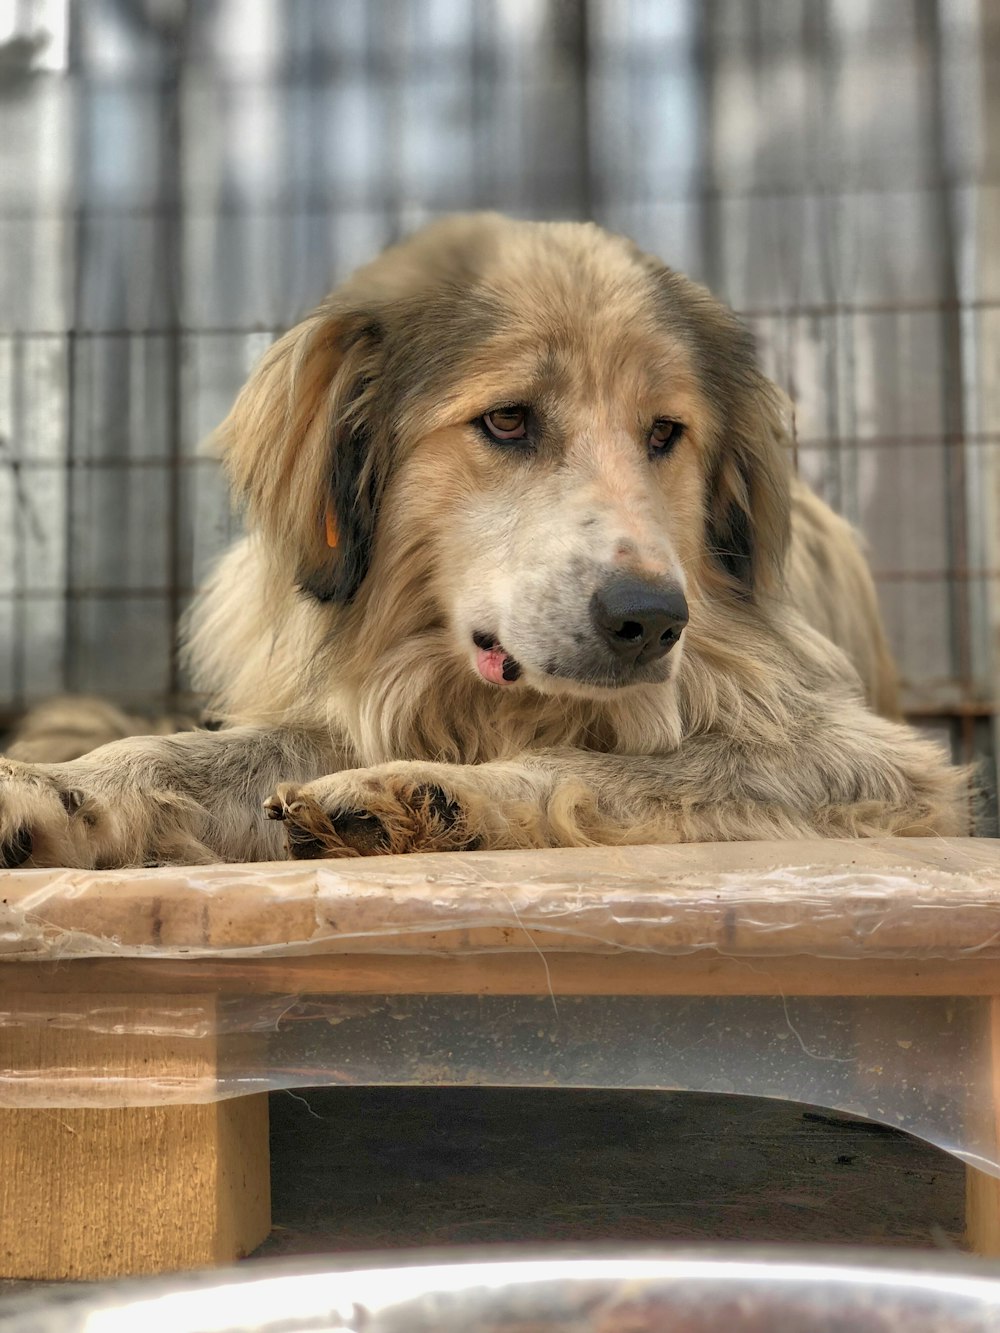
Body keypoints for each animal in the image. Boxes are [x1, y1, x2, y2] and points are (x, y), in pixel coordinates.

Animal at [0, 213, 970, 869]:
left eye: (665, 433)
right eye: (507, 420)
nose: (653, 621)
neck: (491, 700)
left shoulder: (864, 759)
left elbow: (606, 768)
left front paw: (426, 794)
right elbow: (181, 753)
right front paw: (59, 787)